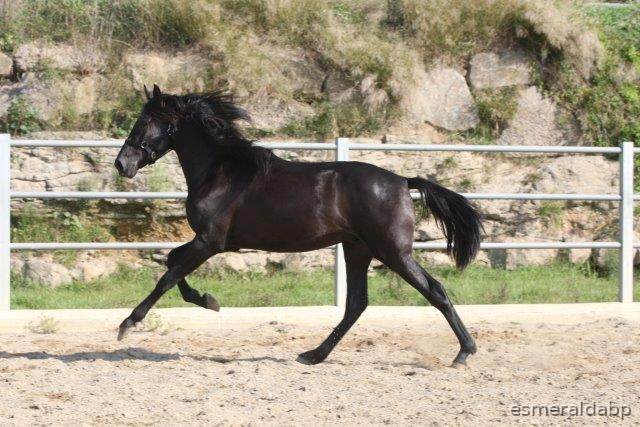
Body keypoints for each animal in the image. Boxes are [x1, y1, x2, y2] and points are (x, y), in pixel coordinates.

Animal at [114, 84, 483, 366]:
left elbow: (168, 275)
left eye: (145, 121)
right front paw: (208, 299)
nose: (121, 164)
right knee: (356, 303)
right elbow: (172, 263)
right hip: (358, 249)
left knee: (434, 290)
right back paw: (313, 355)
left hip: (392, 251)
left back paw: (465, 352)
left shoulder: (210, 241)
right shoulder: (206, 242)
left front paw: (128, 323)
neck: (220, 172)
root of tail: (404, 182)